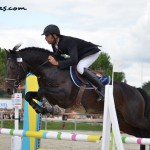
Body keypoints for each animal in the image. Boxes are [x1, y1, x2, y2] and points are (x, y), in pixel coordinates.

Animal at [4, 44, 150, 142]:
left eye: (12, 67)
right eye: (7, 67)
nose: (8, 89)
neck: (51, 70)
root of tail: (136, 90)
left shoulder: (64, 97)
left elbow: (42, 92)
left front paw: (50, 109)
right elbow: (29, 95)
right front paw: (40, 108)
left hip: (134, 117)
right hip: (125, 122)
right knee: (141, 133)